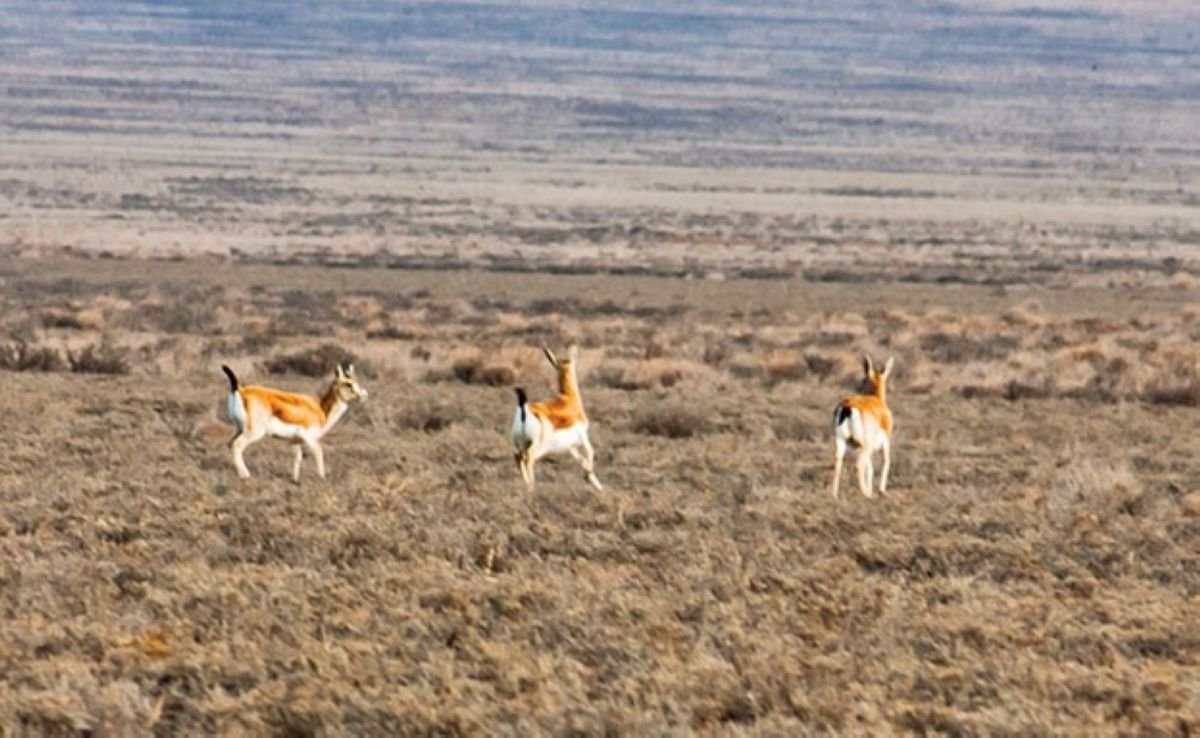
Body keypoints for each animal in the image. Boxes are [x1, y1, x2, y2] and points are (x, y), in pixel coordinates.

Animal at [222, 362, 367, 484]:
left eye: (356, 382)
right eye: (348, 384)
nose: (363, 396)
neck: (321, 409)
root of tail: (240, 389)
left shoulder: (295, 441)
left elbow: (298, 458)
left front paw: (295, 480)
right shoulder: (309, 438)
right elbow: (319, 452)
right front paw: (322, 478)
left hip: (239, 429)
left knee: (230, 444)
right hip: (254, 433)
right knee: (237, 445)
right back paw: (245, 475)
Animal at [508, 343, 604, 494]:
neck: (569, 399)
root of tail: (524, 408)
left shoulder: (571, 446)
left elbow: (582, 460)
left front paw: (595, 483)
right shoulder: (583, 435)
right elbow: (590, 452)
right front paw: (590, 476)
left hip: (520, 443)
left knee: (518, 456)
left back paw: (527, 486)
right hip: (538, 446)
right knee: (528, 458)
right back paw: (532, 487)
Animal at [835, 355, 892, 499]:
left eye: (863, 379)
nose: (858, 389)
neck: (877, 399)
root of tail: (847, 408)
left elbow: (870, 468)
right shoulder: (885, 443)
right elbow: (885, 462)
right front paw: (881, 490)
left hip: (842, 443)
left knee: (838, 463)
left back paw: (834, 495)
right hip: (866, 446)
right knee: (859, 465)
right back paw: (866, 494)